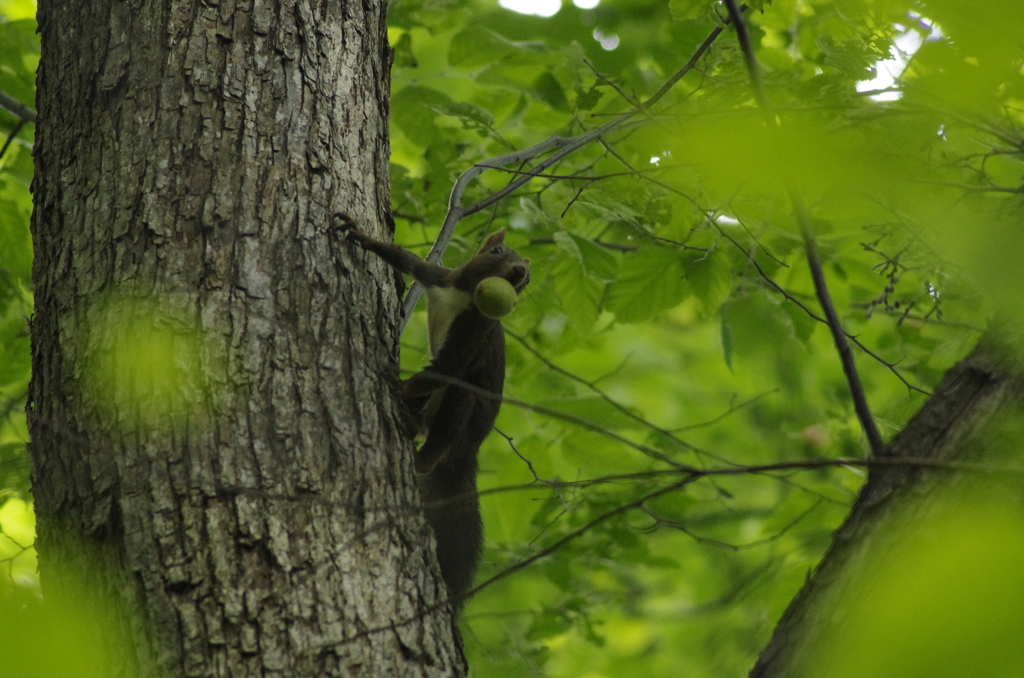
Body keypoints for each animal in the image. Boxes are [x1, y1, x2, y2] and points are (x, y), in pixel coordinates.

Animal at [339, 215, 532, 606]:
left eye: (527, 279)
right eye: (497, 251)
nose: (519, 272)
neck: (464, 296)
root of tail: (468, 453)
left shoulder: (473, 334)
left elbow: (445, 367)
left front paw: (398, 384)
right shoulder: (439, 278)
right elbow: (408, 261)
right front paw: (362, 235)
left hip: (461, 413)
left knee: (447, 423)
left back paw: (421, 456)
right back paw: (411, 419)